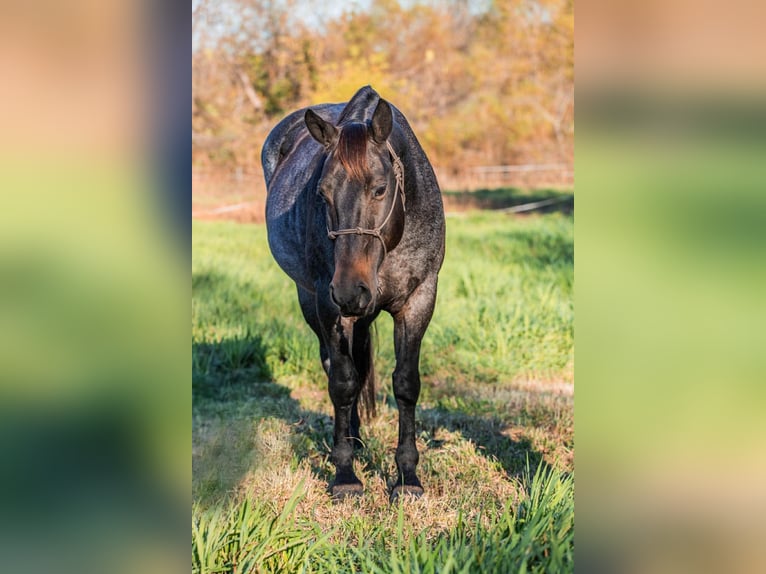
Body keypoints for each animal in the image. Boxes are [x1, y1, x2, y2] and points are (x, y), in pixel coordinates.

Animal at [262, 86, 445, 501]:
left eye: (380, 188)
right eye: (322, 193)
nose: (349, 290)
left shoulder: (419, 300)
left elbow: (406, 383)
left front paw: (408, 477)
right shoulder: (329, 306)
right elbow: (343, 383)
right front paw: (345, 473)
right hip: (312, 301)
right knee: (336, 366)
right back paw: (345, 442)